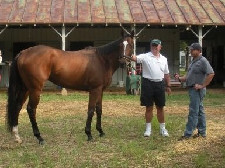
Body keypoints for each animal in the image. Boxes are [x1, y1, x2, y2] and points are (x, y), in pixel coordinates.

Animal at [6, 31, 134, 144]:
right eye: (120, 45)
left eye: (131, 45)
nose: (123, 62)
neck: (101, 59)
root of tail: (23, 53)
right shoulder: (94, 90)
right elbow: (91, 110)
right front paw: (89, 134)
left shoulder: (100, 90)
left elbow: (99, 110)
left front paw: (100, 131)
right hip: (35, 89)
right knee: (31, 109)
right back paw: (39, 137)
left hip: (25, 88)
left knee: (17, 107)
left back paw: (17, 137)